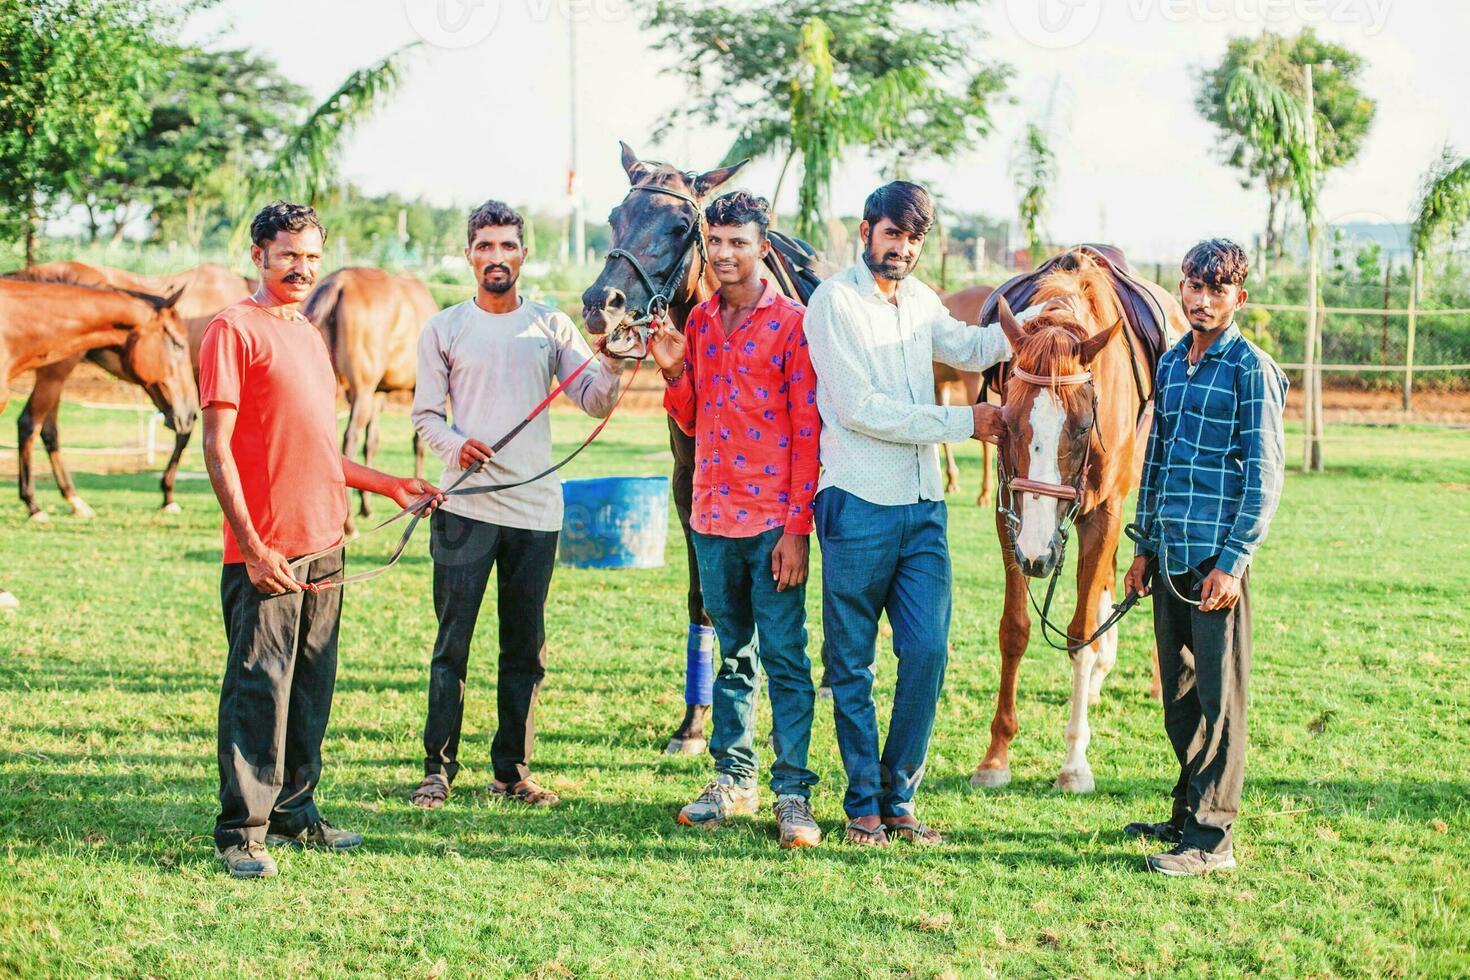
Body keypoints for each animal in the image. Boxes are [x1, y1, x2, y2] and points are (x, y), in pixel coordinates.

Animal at [10, 260, 251, 520]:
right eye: (178, 344)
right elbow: (190, 435)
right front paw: (168, 496)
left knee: (48, 431)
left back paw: (73, 499)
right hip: (56, 371)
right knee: (30, 424)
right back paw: (34, 504)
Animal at [970, 249, 1187, 793]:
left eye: (1085, 424)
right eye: (1007, 423)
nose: (1037, 555)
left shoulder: (1105, 514)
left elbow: (1078, 634)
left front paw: (1074, 763)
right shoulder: (1010, 517)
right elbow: (1015, 630)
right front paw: (996, 757)